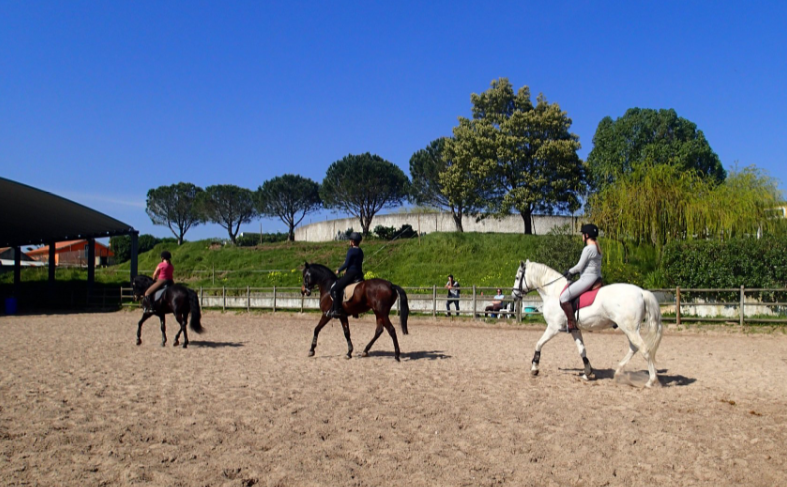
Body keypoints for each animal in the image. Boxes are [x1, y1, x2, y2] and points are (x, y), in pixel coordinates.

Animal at [510, 260, 664, 388]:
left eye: (517, 278)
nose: (514, 296)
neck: (553, 292)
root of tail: (642, 292)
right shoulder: (574, 329)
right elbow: (582, 350)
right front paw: (587, 372)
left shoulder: (553, 328)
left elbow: (538, 344)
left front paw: (534, 368)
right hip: (629, 329)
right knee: (634, 347)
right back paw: (618, 372)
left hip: (629, 328)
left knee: (644, 349)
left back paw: (650, 381)